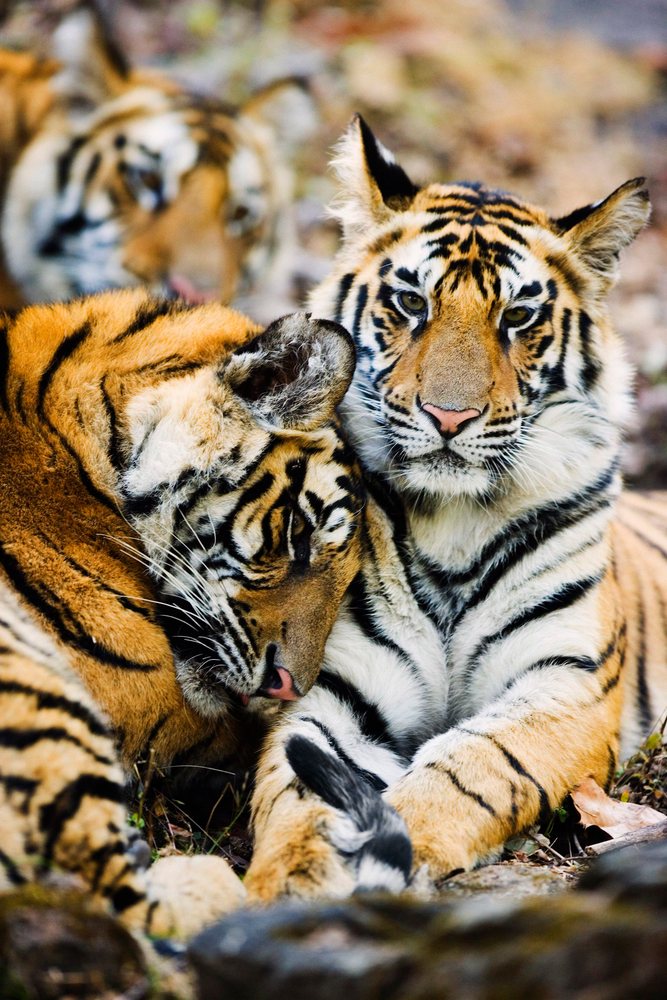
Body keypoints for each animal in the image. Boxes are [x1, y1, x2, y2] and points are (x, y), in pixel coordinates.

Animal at [242, 115, 667, 901]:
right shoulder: (338, 685)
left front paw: (401, 845)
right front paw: (288, 882)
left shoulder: (565, 684)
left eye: (518, 316)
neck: (454, 522)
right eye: (412, 304)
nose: (448, 416)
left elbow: (475, 767)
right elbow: (298, 787)